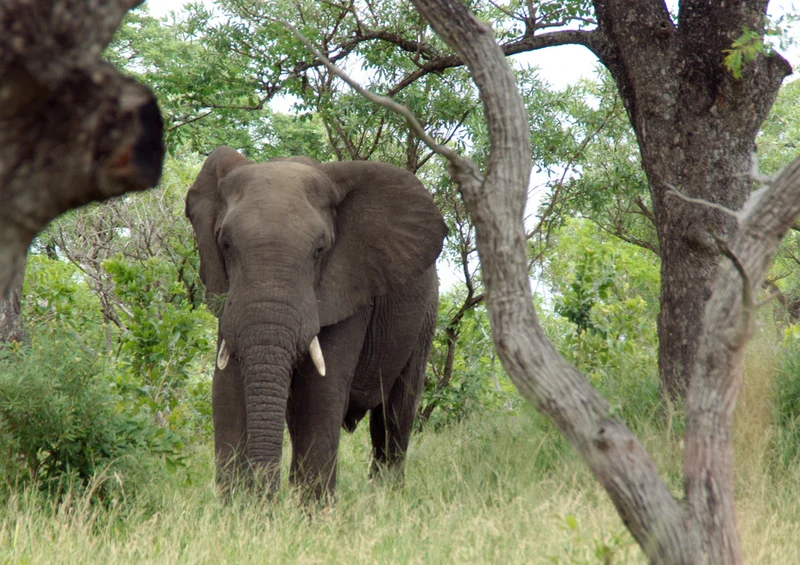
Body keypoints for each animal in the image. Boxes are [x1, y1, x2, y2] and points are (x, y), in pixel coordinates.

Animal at [185, 146, 447, 500]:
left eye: (320, 249)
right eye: (224, 244)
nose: (265, 501)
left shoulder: (348, 285)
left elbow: (321, 392)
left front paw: (312, 513)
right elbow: (226, 391)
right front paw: (237, 510)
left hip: (425, 314)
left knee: (395, 413)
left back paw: (386, 497)